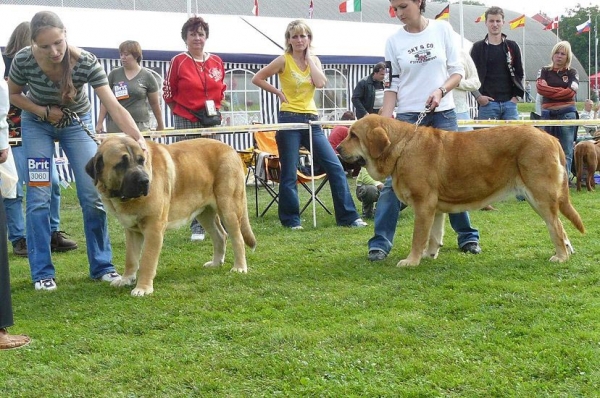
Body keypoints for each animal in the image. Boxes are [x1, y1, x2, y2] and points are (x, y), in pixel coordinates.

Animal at [86, 137, 255, 296]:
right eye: (121, 163)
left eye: (141, 161)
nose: (145, 181)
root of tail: (231, 149)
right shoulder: (132, 231)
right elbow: (131, 258)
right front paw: (126, 279)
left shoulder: (153, 229)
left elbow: (147, 260)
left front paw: (142, 288)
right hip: (204, 213)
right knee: (220, 235)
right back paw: (216, 263)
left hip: (228, 207)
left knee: (237, 238)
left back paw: (239, 267)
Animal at [338, 113, 584, 266]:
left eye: (354, 135)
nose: (338, 148)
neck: (402, 147)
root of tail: (551, 137)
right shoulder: (434, 208)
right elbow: (433, 235)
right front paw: (429, 254)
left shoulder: (423, 205)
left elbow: (418, 237)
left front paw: (411, 261)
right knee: (560, 227)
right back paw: (567, 252)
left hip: (540, 197)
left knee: (556, 226)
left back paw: (560, 256)